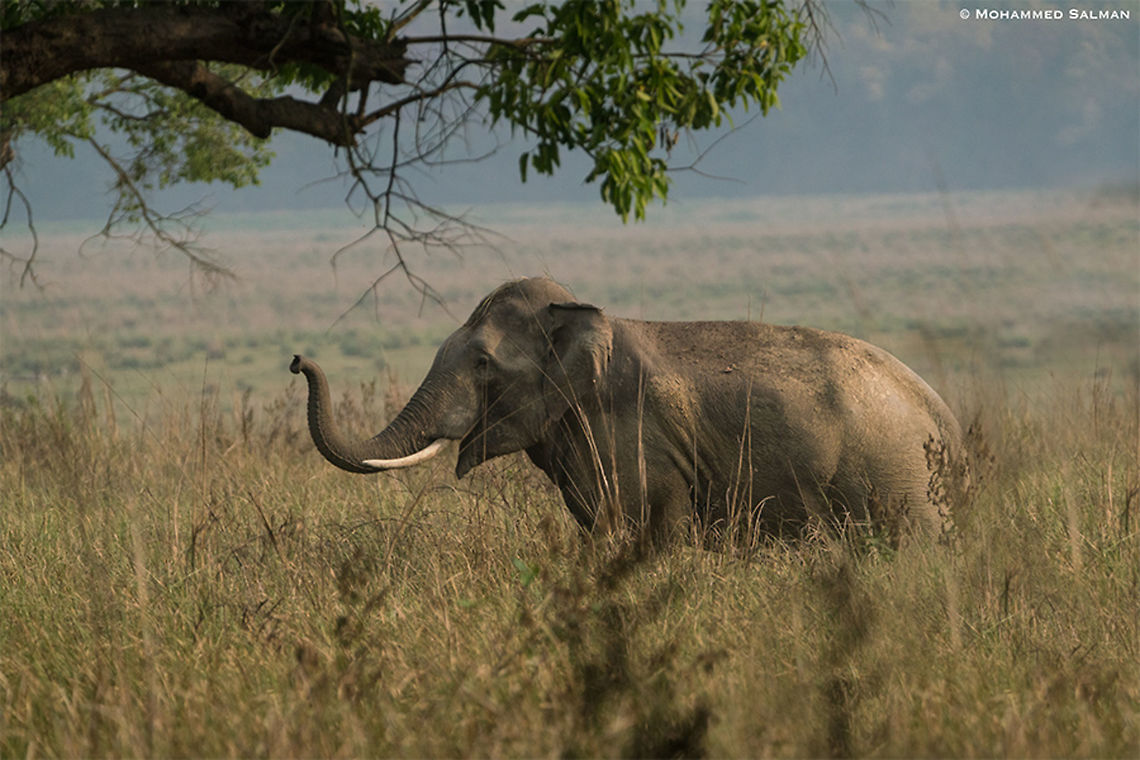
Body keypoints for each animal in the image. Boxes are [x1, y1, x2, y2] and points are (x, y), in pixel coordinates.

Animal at [291, 277, 966, 544]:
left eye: (483, 363)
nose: (298, 360)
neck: (587, 317)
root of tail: (950, 427)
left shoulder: (633, 437)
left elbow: (646, 525)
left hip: (898, 483)